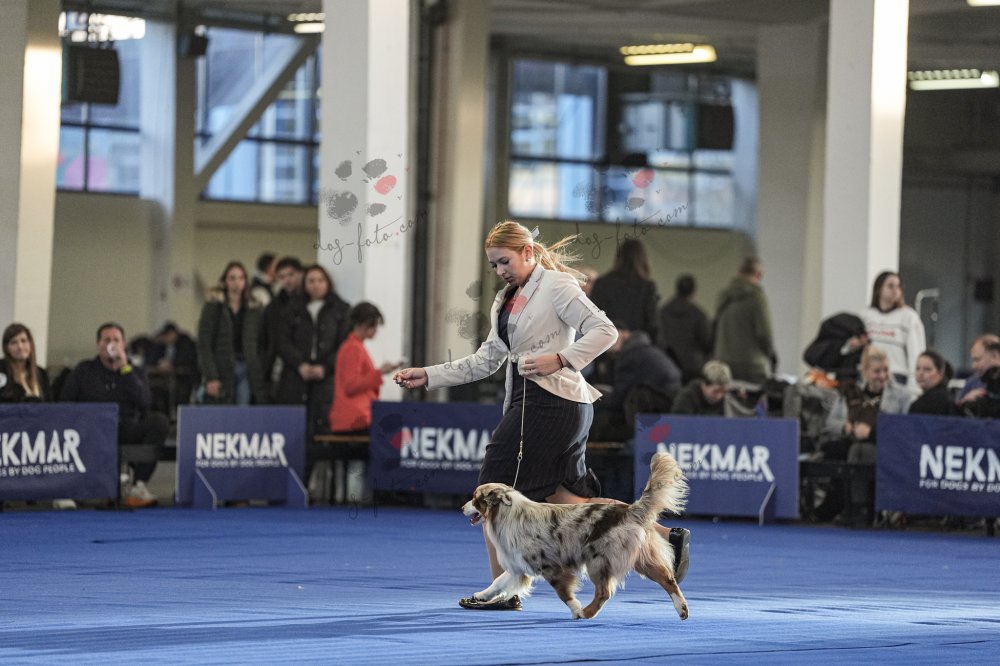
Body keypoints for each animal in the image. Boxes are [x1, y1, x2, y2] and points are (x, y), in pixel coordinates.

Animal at [462, 451, 689, 620]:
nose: (462, 508)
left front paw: (576, 609)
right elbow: (498, 582)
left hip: (599, 560)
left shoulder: (550, 565)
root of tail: (630, 510)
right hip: (641, 558)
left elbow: (563, 592)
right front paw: (481, 596)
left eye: (475, 499)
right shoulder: (519, 565)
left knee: (604, 592)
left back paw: (586, 612)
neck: (507, 514)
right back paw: (682, 609)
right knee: (667, 578)